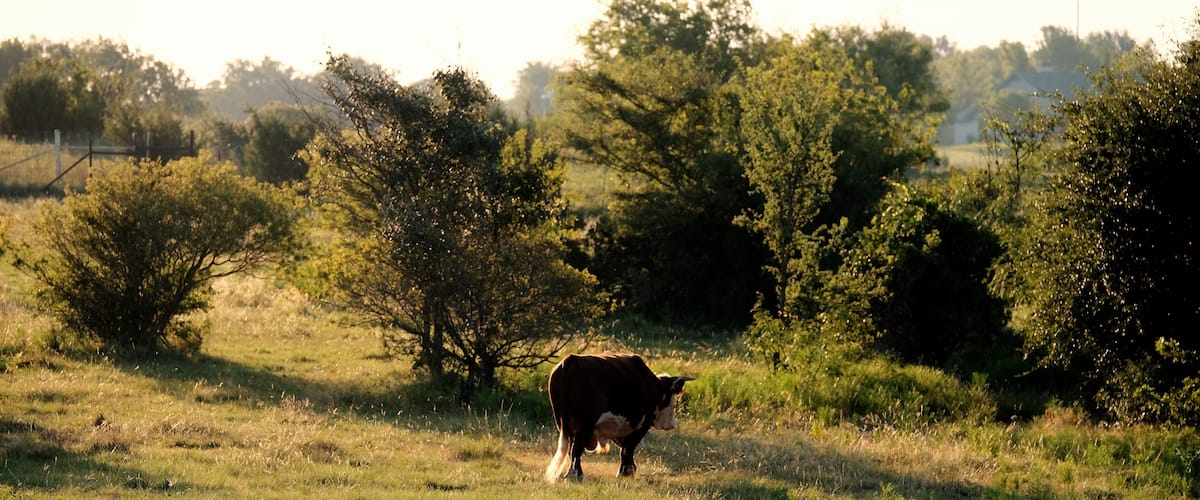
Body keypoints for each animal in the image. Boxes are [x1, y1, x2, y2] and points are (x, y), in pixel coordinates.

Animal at [544, 353, 694, 482]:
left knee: (572, 450)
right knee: (576, 449)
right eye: (671, 398)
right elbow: (627, 450)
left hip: (564, 424)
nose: (673, 423)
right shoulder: (641, 425)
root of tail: (571, 360)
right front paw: (626, 473)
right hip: (584, 424)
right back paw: (575, 475)